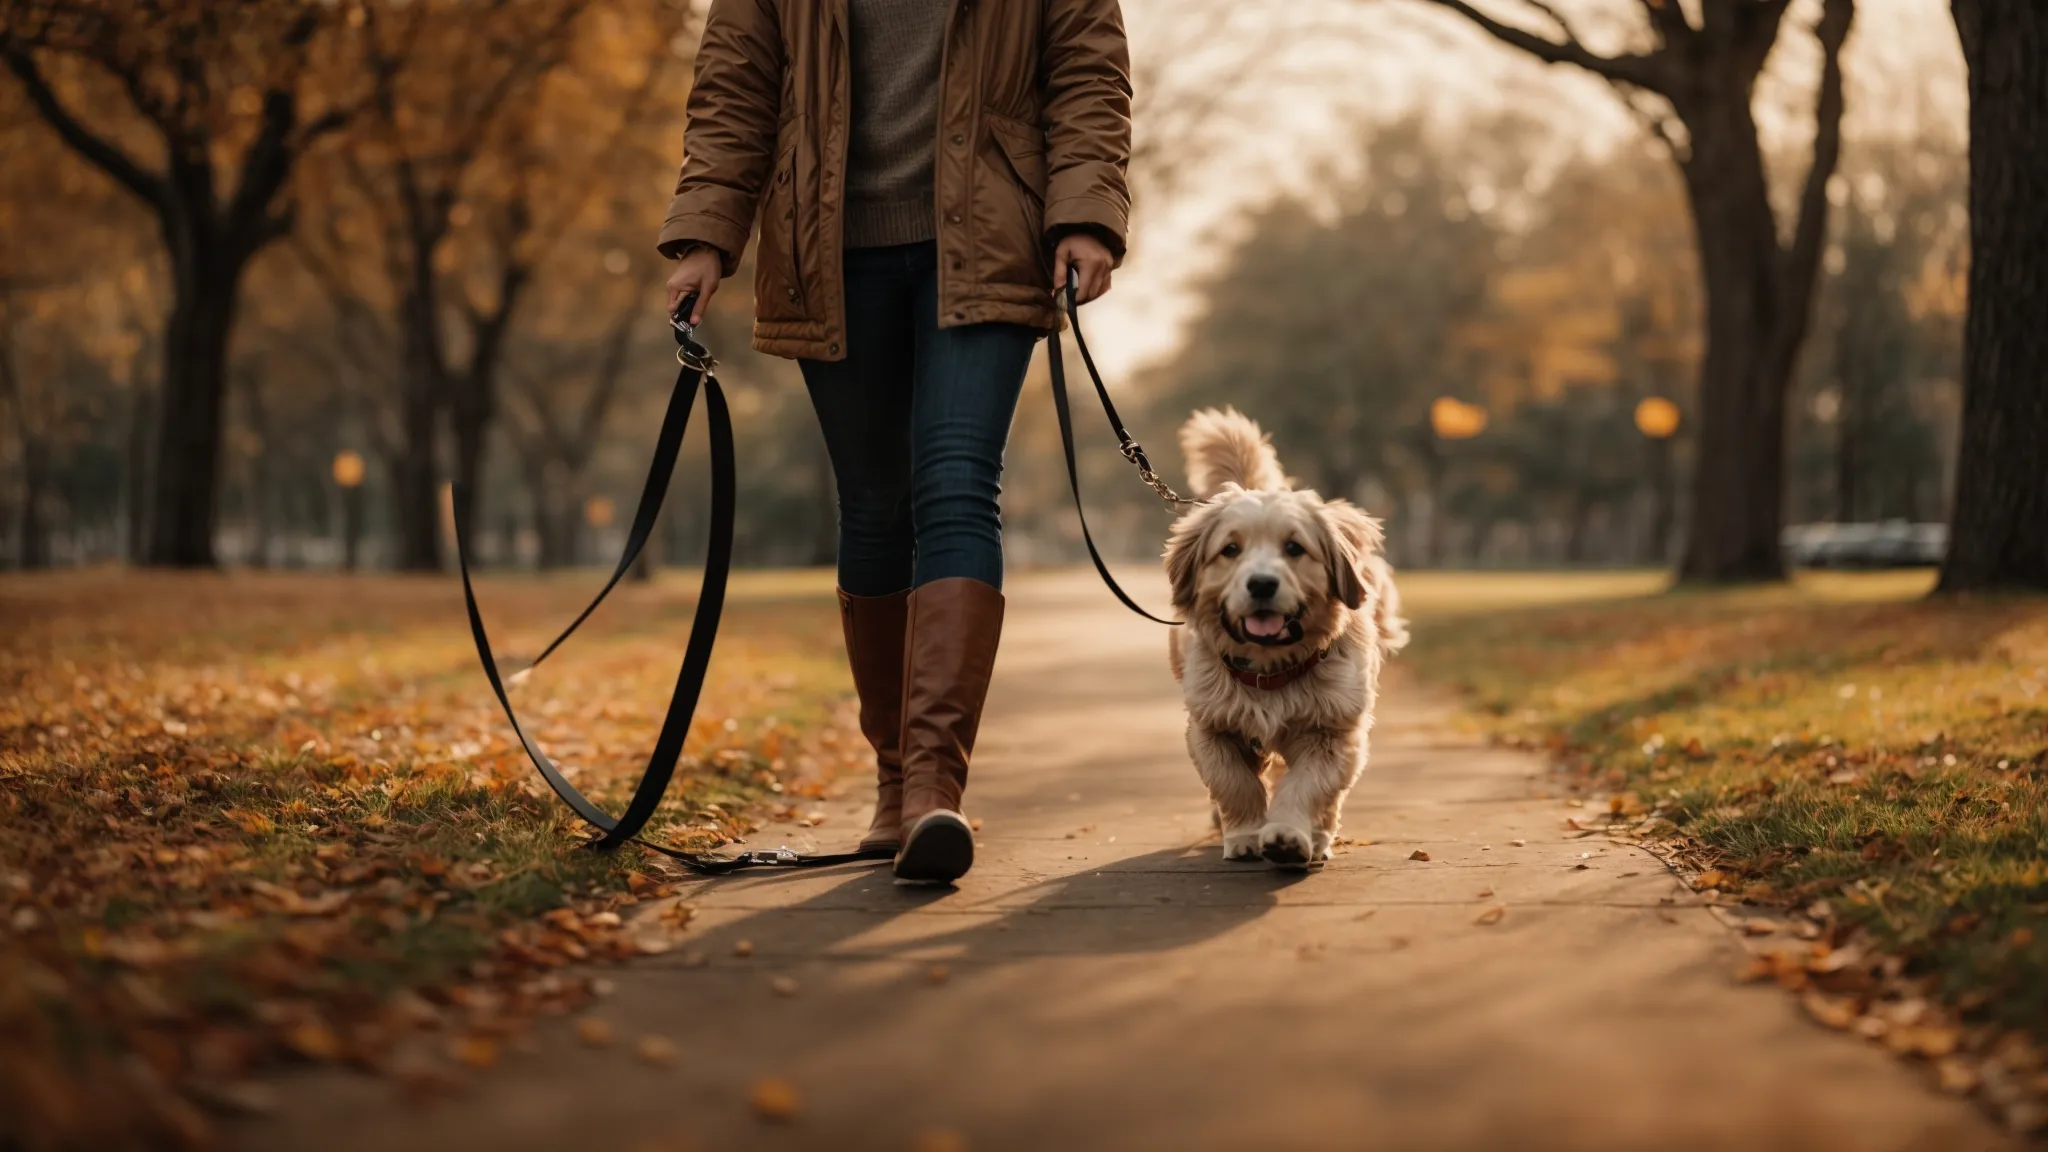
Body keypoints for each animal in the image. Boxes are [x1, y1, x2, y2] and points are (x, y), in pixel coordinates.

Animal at [1171, 407, 1409, 865]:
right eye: (1230, 550)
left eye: (1295, 548)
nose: (1262, 584)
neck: (1270, 668)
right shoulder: (1210, 725)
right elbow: (1234, 783)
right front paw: (1245, 834)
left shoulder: (1332, 731)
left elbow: (1307, 786)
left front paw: (1287, 835)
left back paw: (1318, 839)